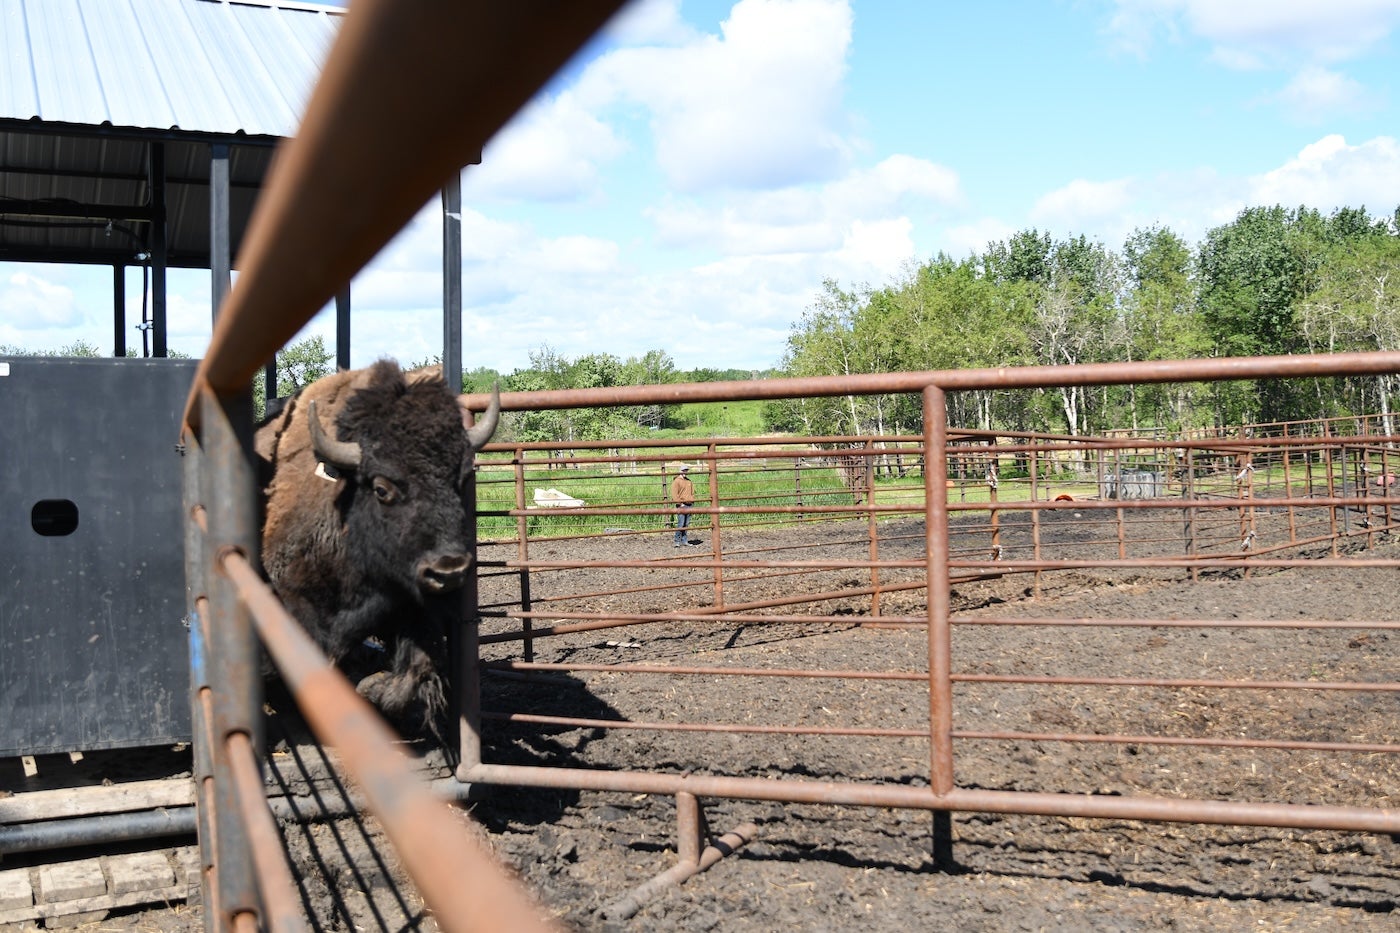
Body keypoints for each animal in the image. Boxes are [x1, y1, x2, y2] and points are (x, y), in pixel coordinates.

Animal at [255, 359, 499, 737]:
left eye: (459, 480)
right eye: (382, 488)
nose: (449, 570)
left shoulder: (410, 609)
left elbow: (415, 670)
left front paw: (370, 687)